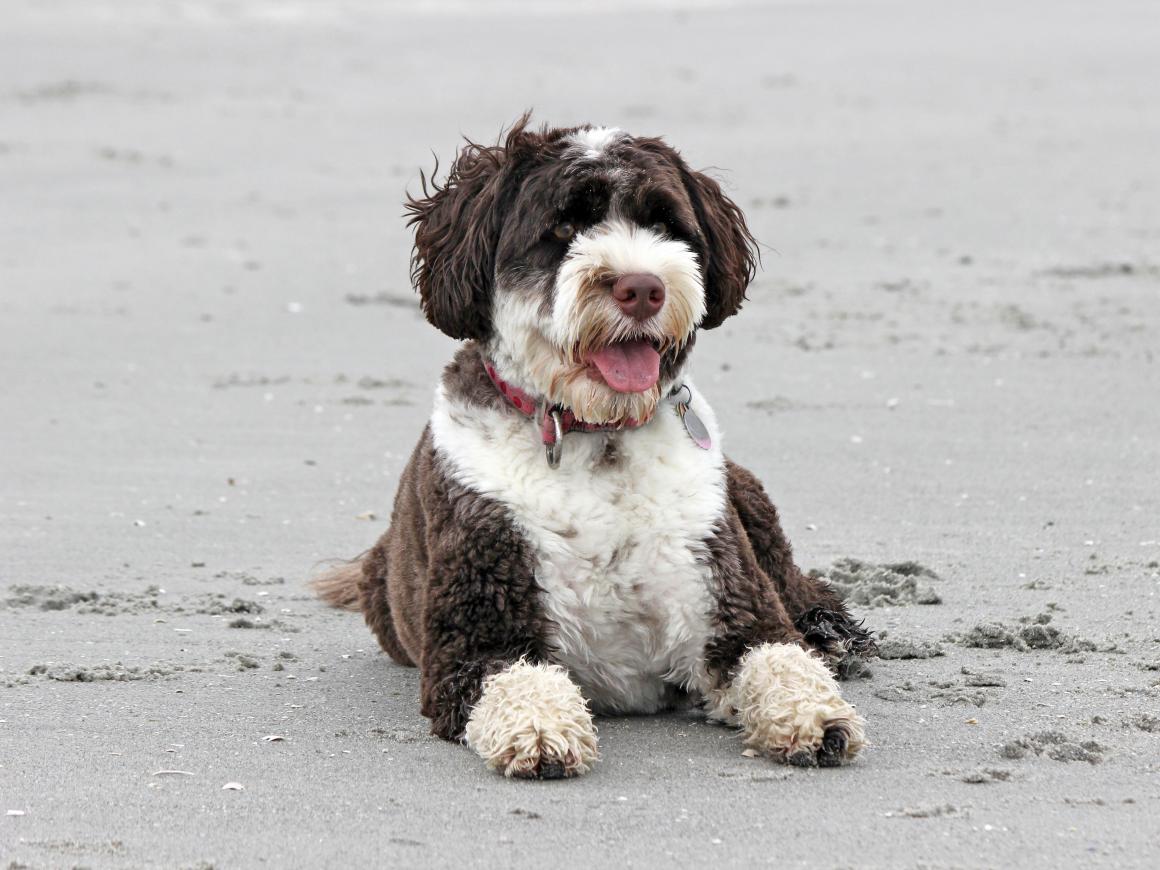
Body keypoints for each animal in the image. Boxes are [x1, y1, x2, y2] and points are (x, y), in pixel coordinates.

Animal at [313, 119, 872, 779]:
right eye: (562, 228)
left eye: (665, 223)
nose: (642, 287)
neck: (597, 434)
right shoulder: (476, 636)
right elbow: (517, 677)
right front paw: (540, 728)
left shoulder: (731, 605)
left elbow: (778, 655)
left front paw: (813, 715)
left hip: (745, 495)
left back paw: (830, 632)